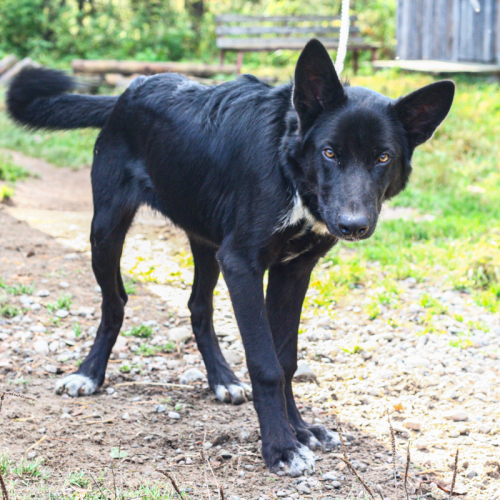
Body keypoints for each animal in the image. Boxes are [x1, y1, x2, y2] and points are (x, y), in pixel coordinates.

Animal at [6, 40, 454, 476]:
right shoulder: (242, 264)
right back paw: (88, 374)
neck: (288, 167)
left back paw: (221, 379)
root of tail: (127, 93)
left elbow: (286, 360)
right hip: (106, 232)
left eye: (383, 157)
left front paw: (300, 429)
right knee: (115, 303)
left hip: (206, 243)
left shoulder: (293, 271)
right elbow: (266, 365)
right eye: (329, 153)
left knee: (198, 306)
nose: (353, 225)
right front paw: (280, 448)